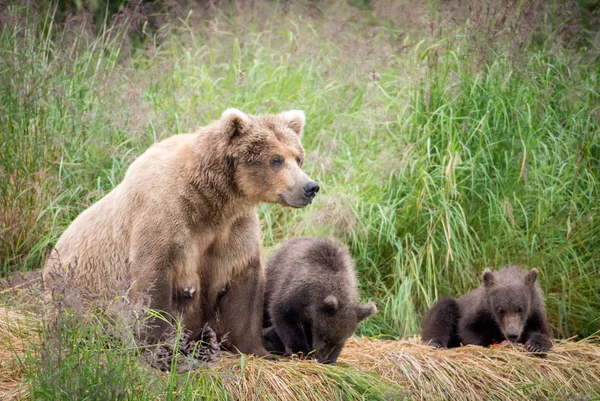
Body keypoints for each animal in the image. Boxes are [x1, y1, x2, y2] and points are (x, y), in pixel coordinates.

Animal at [44, 108, 318, 356]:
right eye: (275, 159)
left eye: (298, 157)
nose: (310, 187)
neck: (210, 201)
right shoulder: (165, 217)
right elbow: (154, 281)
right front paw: (161, 350)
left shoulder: (234, 228)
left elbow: (244, 285)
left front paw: (258, 350)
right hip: (77, 293)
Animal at [262, 236, 376, 364]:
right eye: (324, 336)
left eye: (336, 341)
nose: (321, 357)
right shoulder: (294, 293)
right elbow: (284, 315)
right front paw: (301, 351)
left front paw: (331, 359)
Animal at [422, 266, 552, 354]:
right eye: (500, 310)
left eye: (520, 309)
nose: (512, 334)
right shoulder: (477, 313)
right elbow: (467, 330)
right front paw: (490, 341)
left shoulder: (535, 314)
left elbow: (542, 333)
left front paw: (535, 345)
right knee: (442, 312)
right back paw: (436, 343)